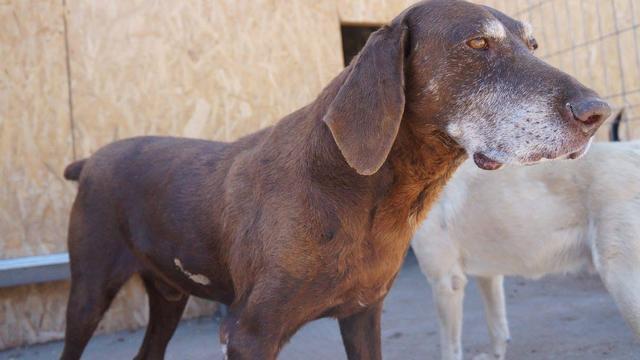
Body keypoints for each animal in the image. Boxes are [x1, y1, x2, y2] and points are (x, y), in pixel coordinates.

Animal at [61, 1, 608, 358]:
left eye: (533, 44)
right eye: (477, 42)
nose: (597, 111)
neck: (360, 197)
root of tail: (90, 160)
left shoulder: (363, 316)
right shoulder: (249, 333)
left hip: (168, 297)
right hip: (88, 294)